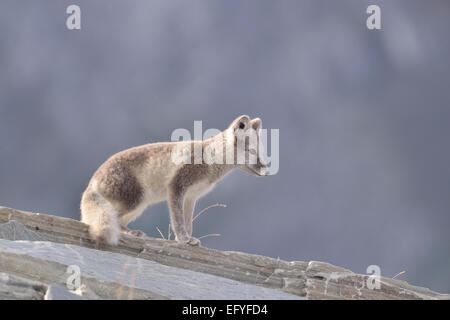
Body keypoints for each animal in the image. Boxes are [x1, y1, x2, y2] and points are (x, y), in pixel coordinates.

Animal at [80, 116, 268, 246]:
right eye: (252, 151)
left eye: (260, 151)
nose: (266, 170)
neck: (210, 161)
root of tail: (92, 181)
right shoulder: (176, 187)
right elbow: (178, 220)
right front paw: (184, 239)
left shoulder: (192, 197)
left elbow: (188, 222)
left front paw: (189, 238)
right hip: (135, 201)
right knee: (111, 219)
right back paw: (133, 233)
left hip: (138, 208)